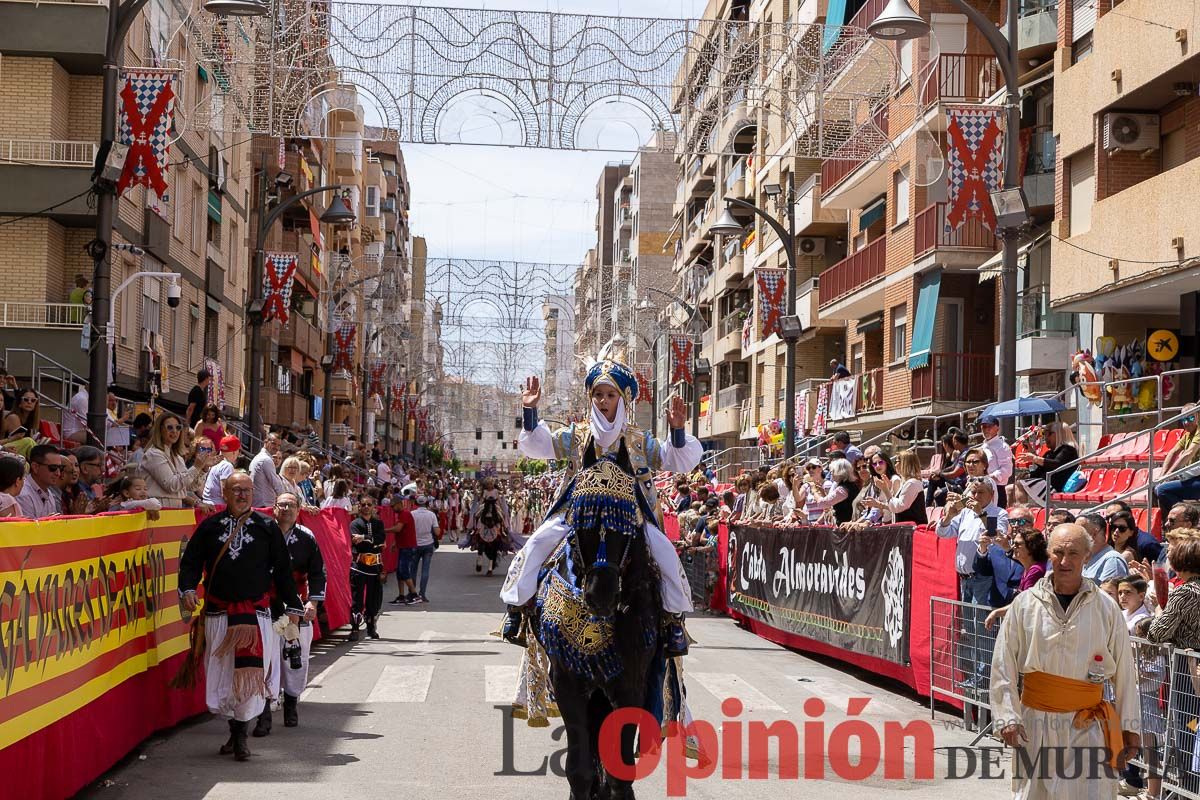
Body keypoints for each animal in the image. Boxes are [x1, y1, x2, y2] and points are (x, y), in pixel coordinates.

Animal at [532, 455, 667, 800]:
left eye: (624, 522)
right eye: (582, 521)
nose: (601, 595)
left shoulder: (630, 687)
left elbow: (620, 771)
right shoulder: (566, 682)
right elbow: (579, 770)